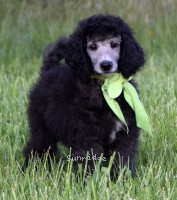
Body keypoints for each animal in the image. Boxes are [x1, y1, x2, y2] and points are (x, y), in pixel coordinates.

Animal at [23, 14, 145, 179]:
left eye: (114, 44)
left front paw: (122, 179)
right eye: (92, 47)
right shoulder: (86, 135)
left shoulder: (125, 133)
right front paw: (90, 181)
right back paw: (32, 170)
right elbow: (90, 161)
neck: (104, 87)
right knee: (36, 148)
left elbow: (123, 158)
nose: (106, 65)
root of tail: (48, 70)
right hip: (41, 127)